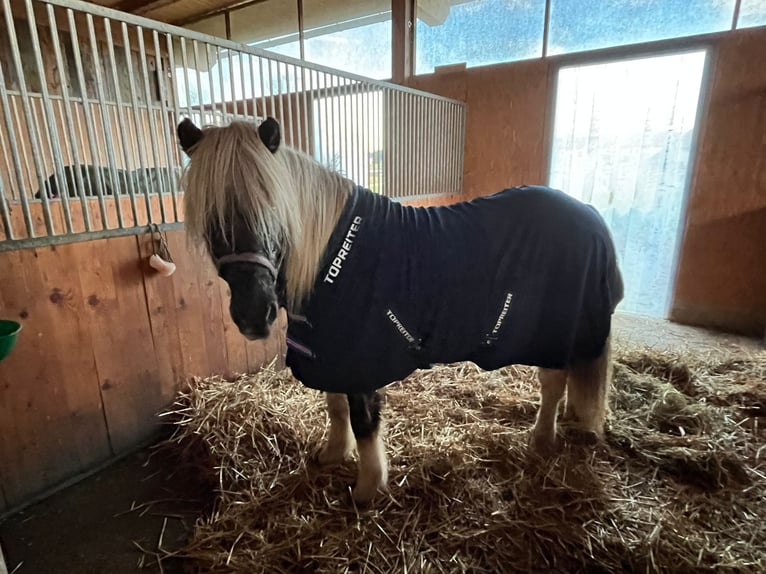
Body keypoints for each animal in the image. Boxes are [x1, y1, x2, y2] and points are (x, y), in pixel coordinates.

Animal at [177, 116, 624, 506]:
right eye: (211, 219)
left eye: (274, 211)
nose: (254, 315)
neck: (331, 257)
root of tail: (589, 214)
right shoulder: (330, 351)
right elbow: (335, 406)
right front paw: (332, 455)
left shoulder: (358, 357)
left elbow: (363, 421)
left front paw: (368, 489)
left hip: (554, 328)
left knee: (553, 381)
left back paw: (541, 439)